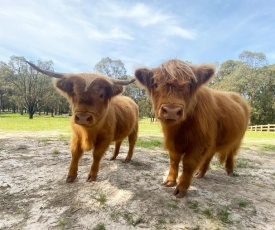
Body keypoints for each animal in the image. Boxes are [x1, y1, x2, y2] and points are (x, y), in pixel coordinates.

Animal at [135, 60, 250, 199]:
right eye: (156, 84)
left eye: (189, 85)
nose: (172, 111)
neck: (179, 131)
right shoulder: (174, 143)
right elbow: (174, 161)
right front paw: (170, 181)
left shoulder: (199, 143)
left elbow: (188, 164)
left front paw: (181, 189)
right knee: (210, 156)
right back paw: (200, 173)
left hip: (238, 138)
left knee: (231, 153)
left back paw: (229, 171)